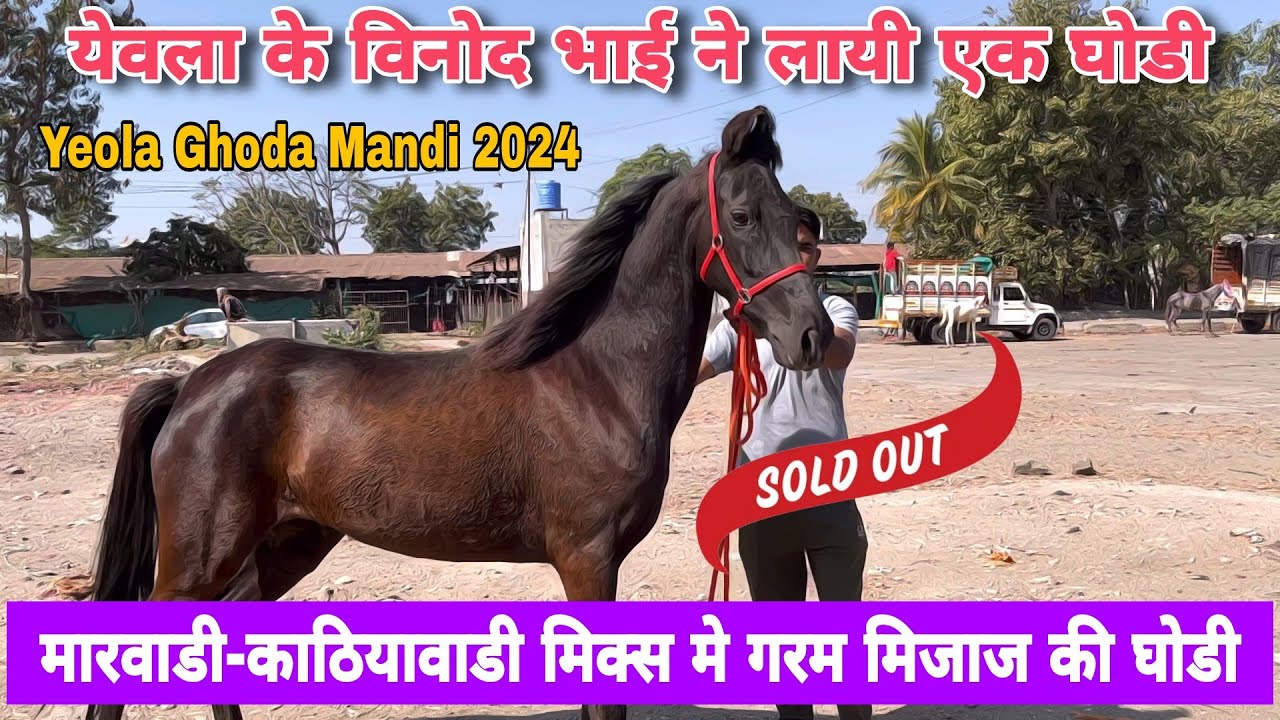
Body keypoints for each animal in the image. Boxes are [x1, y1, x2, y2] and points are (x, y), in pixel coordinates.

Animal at [85, 106, 833, 720]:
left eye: (795, 215)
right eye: (743, 216)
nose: (811, 335)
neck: (595, 381)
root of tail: (191, 387)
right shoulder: (588, 561)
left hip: (287, 541)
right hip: (200, 559)